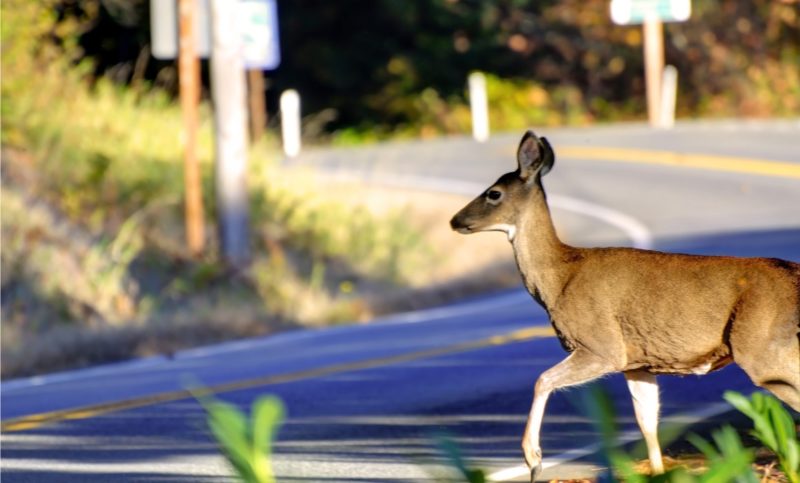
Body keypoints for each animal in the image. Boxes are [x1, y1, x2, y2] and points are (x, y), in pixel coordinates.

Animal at [450, 130, 800, 482]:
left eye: (493, 193)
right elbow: (647, 421)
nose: (455, 220)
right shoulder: (639, 362)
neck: (559, 278)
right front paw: (658, 471)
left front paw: (533, 459)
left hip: (763, 349)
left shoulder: (602, 345)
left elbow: (542, 379)